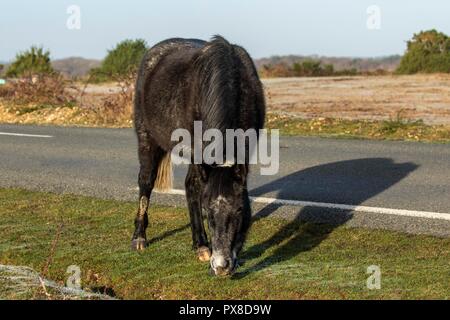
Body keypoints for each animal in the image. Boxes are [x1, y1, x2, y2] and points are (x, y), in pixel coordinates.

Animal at [132, 34, 266, 276]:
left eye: (240, 210)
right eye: (208, 212)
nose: (221, 266)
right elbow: (194, 190)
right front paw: (204, 246)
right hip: (147, 140)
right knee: (146, 182)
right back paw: (140, 237)